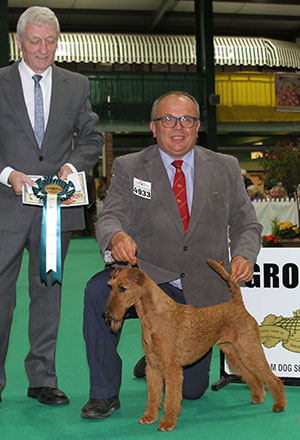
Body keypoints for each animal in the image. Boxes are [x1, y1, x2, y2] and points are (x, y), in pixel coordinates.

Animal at [103, 260, 288, 432]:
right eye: (111, 286)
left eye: (123, 288)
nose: (105, 313)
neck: (154, 317)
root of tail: (238, 304)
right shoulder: (153, 366)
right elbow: (153, 395)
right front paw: (149, 416)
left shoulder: (171, 367)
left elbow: (171, 398)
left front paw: (167, 422)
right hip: (232, 352)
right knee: (251, 376)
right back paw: (258, 396)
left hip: (249, 348)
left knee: (272, 378)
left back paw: (279, 405)